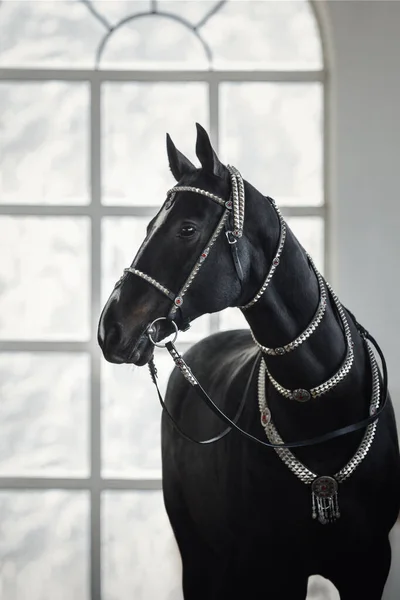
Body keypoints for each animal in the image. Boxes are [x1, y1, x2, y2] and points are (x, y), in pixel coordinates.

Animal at [98, 124, 400, 596]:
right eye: (150, 226)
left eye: (187, 229)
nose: (111, 328)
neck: (323, 409)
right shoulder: (273, 568)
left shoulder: (370, 565)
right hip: (201, 555)